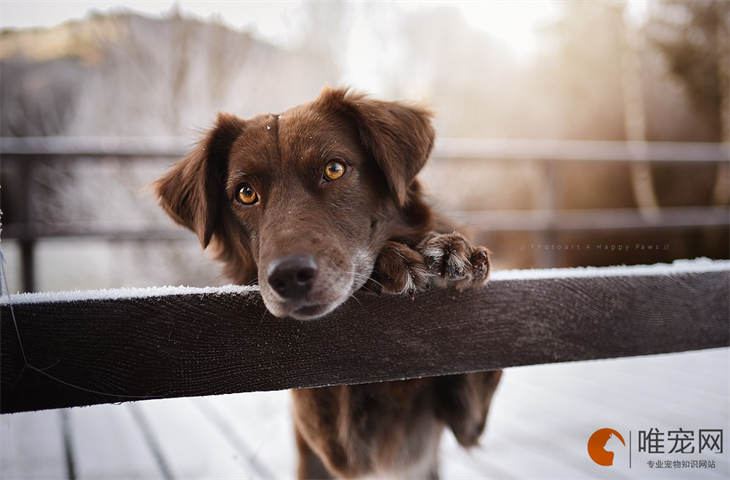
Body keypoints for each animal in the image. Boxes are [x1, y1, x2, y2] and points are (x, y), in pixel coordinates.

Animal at [154, 88, 500, 478]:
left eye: (333, 169)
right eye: (245, 193)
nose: (288, 277)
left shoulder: (469, 423)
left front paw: (452, 250)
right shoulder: (343, 451)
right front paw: (390, 261)